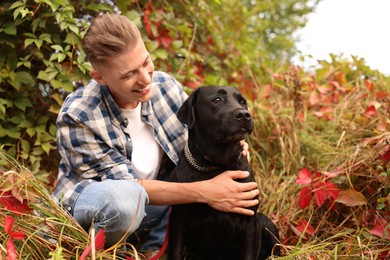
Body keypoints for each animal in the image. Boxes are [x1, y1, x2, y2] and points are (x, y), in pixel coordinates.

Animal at [169, 86, 278, 260]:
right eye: (217, 100)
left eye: (242, 101)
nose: (244, 115)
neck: (216, 165)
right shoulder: (178, 219)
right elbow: (175, 252)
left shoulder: (250, 221)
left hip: (265, 222)